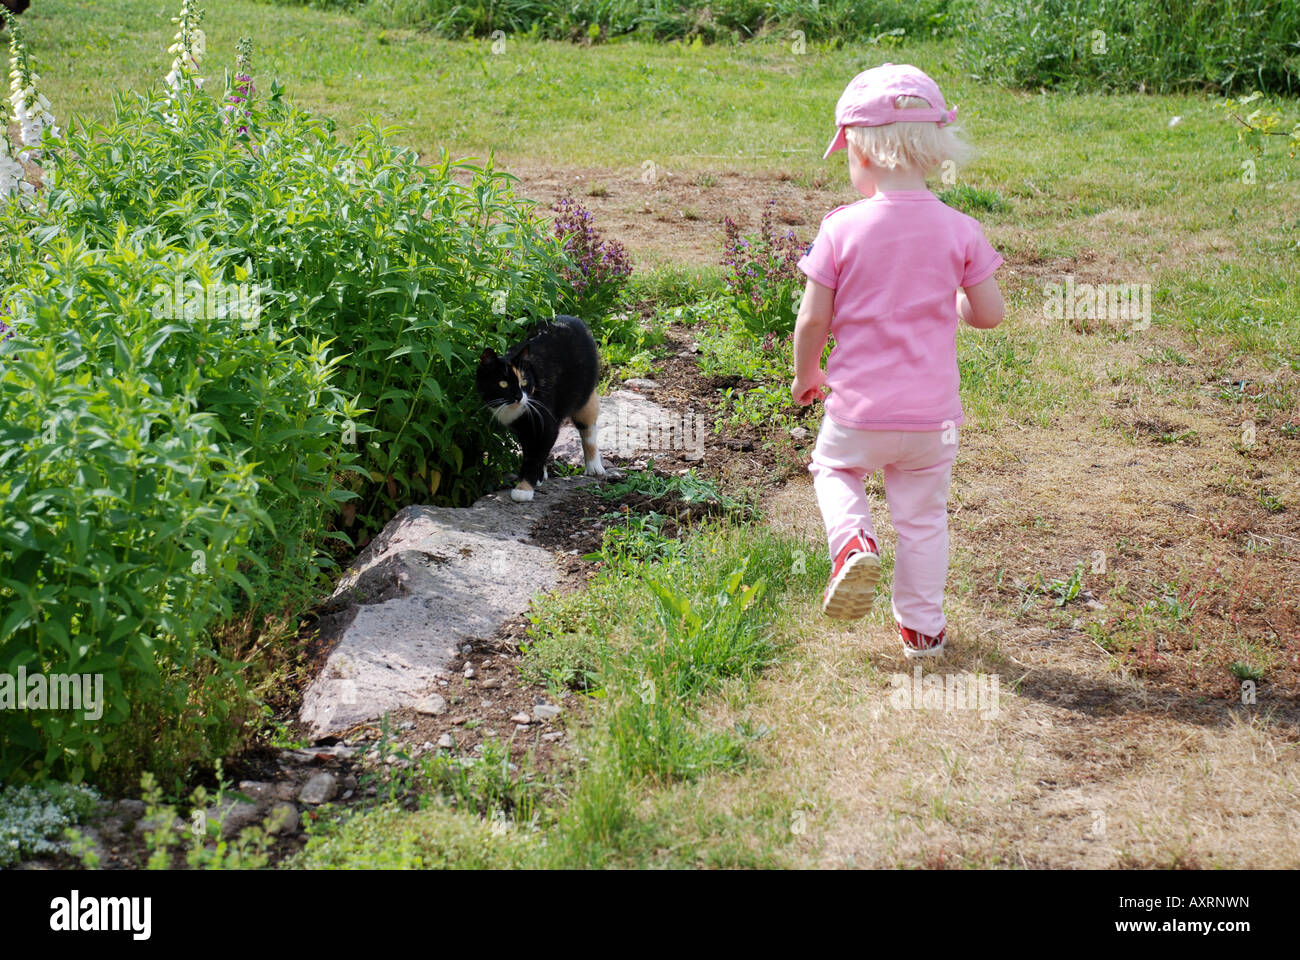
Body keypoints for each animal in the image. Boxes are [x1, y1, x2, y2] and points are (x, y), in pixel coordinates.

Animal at [473, 314, 603, 502]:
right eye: (503, 383)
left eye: (524, 381)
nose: (519, 397)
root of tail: (573, 318)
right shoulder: (522, 429)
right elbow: (530, 451)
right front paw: (537, 477)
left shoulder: (545, 425)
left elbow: (534, 456)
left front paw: (524, 489)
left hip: (585, 394)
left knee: (588, 427)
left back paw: (594, 466)